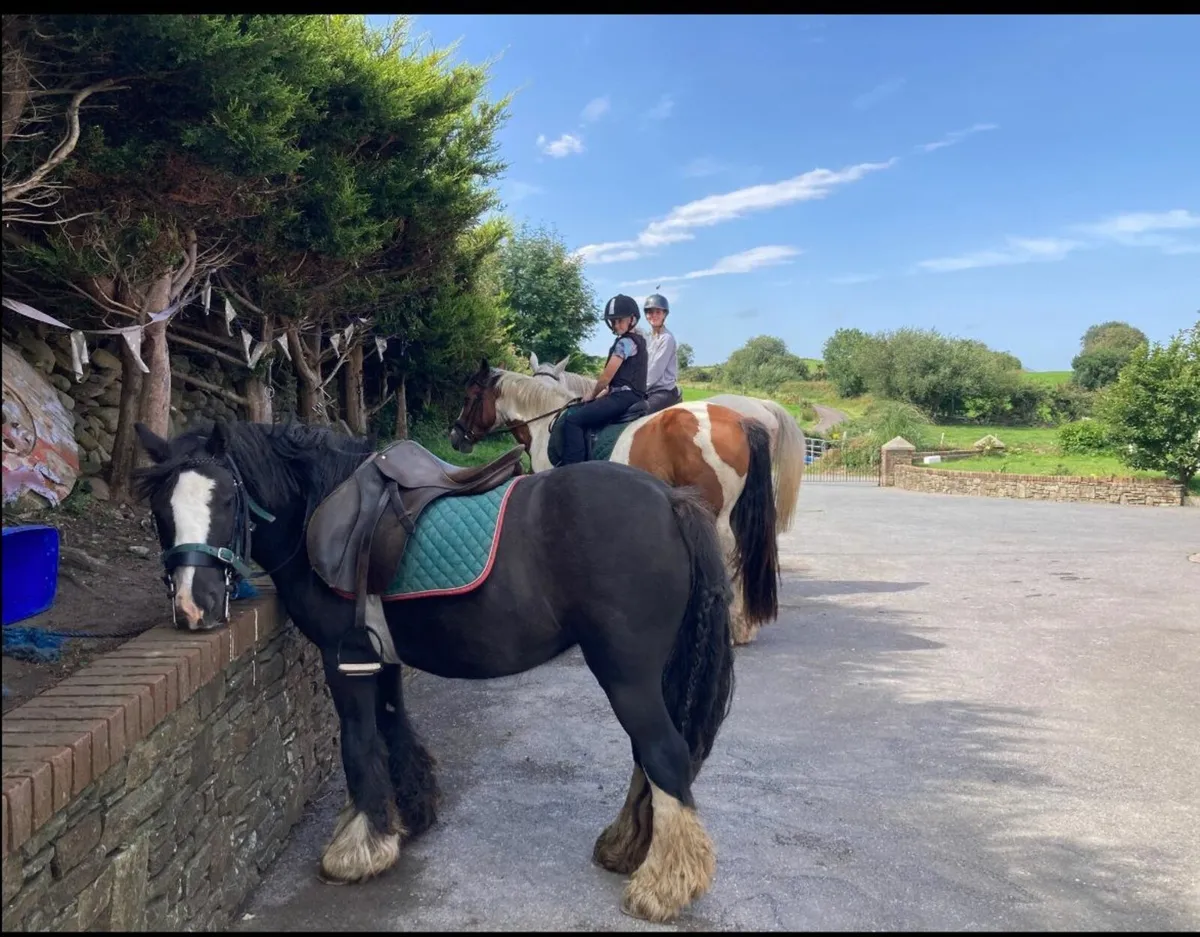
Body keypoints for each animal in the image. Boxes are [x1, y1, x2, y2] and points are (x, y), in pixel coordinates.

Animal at [132, 418, 736, 923]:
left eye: (227, 499)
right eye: (160, 510)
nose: (193, 606)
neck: (319, 509)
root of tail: (669, 499)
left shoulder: (342, 658)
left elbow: (359, 742)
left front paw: (359, 849)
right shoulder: (378, 655)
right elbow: (393, 728)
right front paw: (407, 814)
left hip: (625, 674)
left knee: (663, 753)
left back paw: (663, 886)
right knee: (649, 756)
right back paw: (627, 847)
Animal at [449, 359, 781, 646]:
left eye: (470, 396)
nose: (456, 437)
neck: (547, 423)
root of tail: (741, 420)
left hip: (717, 512)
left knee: (729, 553)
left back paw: (734, 626)